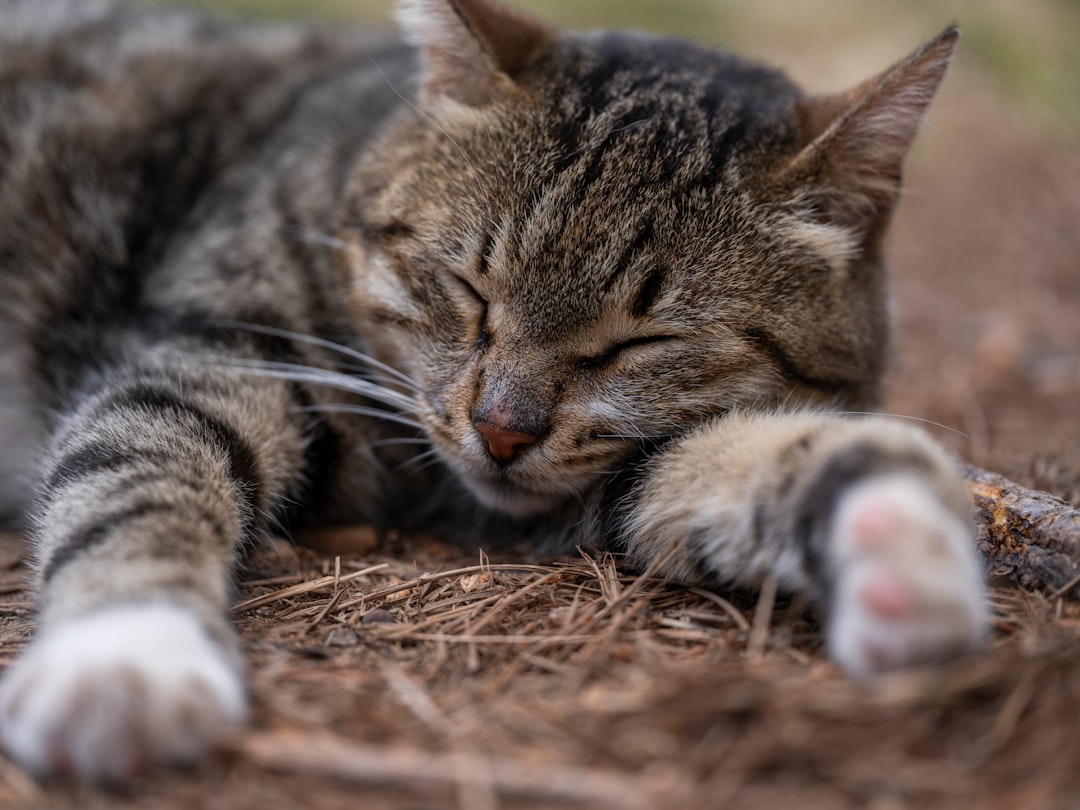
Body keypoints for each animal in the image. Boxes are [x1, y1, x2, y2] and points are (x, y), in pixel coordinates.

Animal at [0, 0, 989, 781]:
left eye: (639, 343)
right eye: (471, 290)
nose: (501, 429)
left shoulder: (590, 481)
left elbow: (754, 455)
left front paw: (897, 537)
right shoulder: (208, 354)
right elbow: (136, 478)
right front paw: (125, 655)